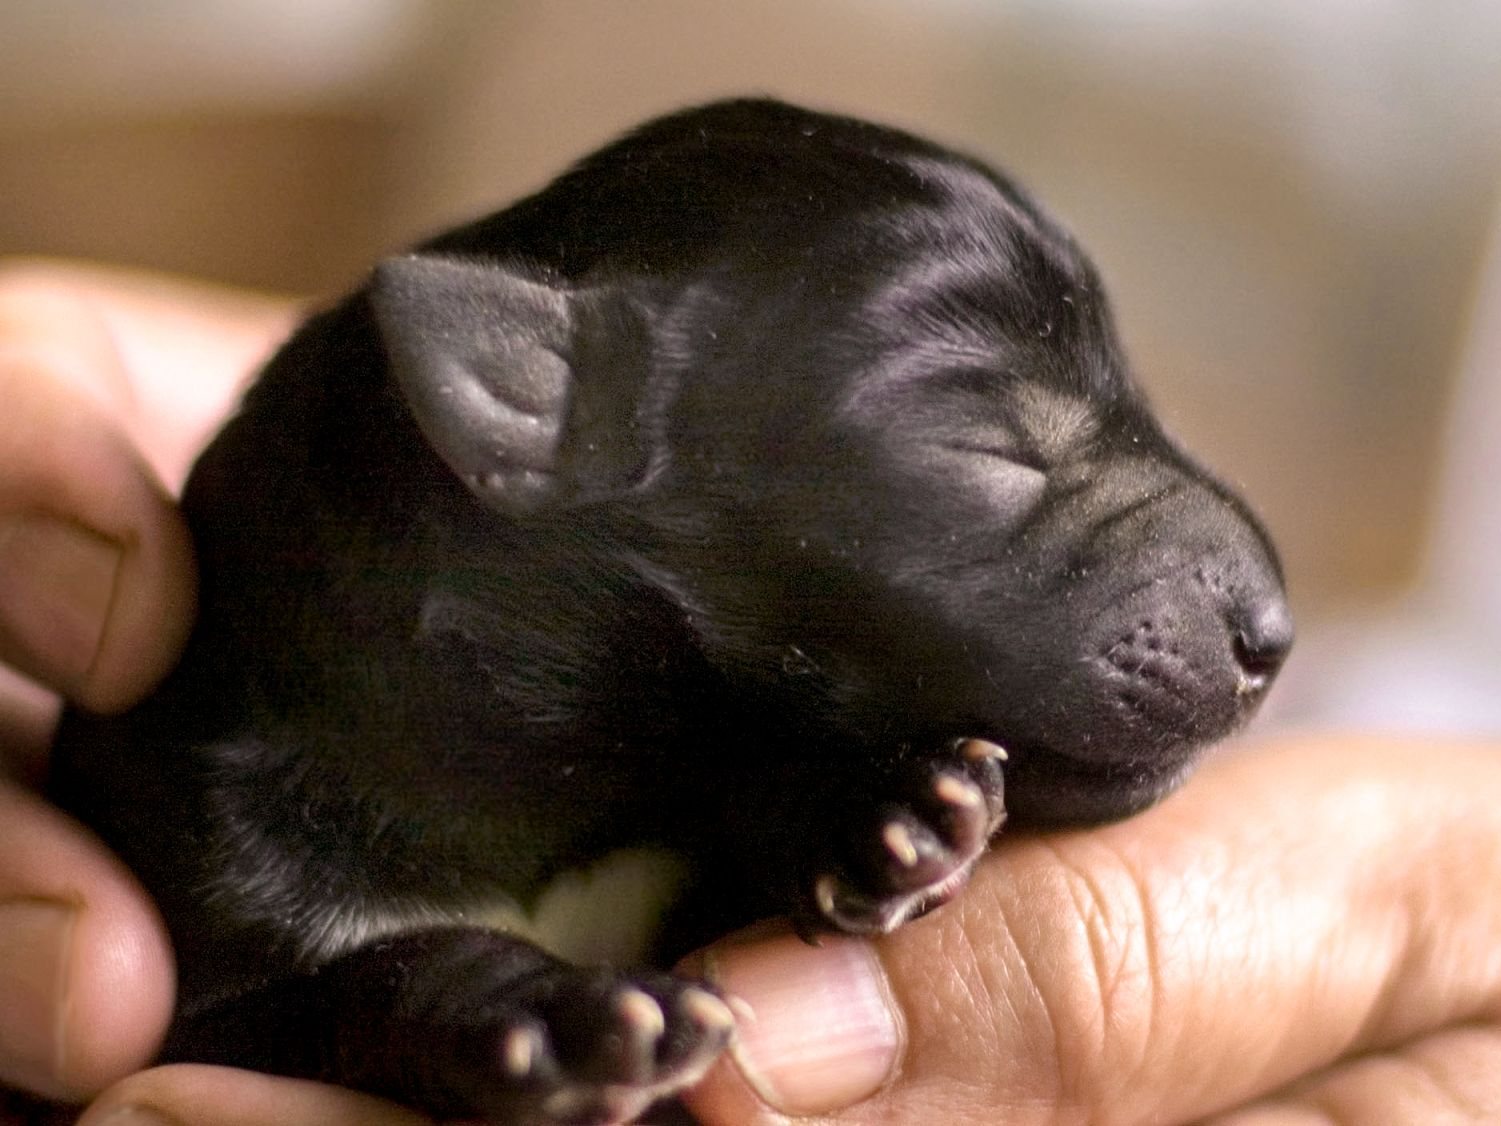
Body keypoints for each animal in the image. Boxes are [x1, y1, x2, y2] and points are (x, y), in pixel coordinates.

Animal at [49, 99, 1290, 1126]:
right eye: (989, 448)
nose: (1271, 632)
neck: (589, 774)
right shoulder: (222, 884)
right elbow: (354, 981)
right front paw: (543, 1021)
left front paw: (878, 808)